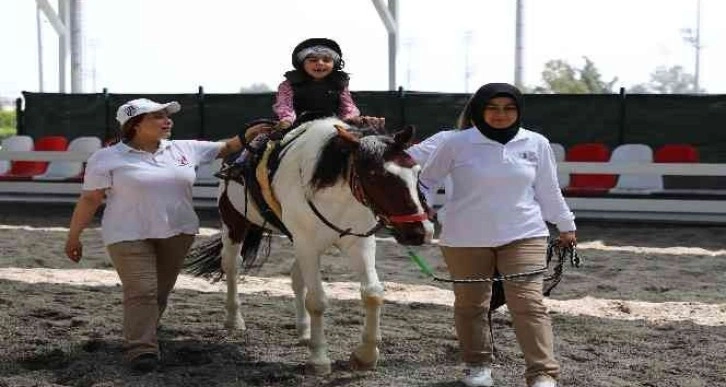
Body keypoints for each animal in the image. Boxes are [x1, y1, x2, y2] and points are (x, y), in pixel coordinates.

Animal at [189, 117, 438, 376]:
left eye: (417, 172)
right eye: (374, 176)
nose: (421, 232)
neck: (335, 193)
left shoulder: (358, 243)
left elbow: (372, 294)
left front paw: (365, 356)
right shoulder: (307, 245)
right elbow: (317, 301)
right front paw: (319, 359)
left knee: (296, 277)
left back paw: (304, 331)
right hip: (235, 222)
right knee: (232, 265)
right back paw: (234, 320)